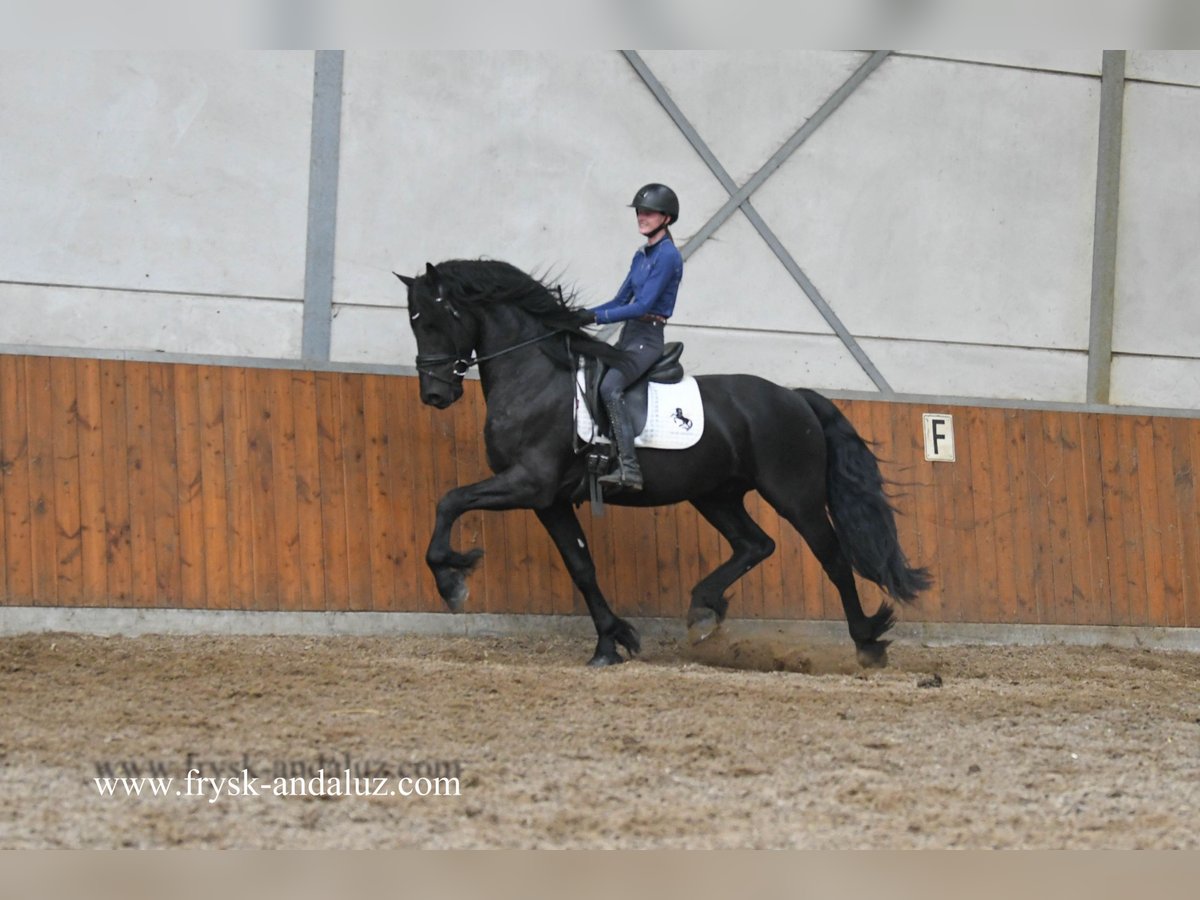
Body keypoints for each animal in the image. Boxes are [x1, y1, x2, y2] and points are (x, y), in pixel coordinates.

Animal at [393, 260, 926, 672]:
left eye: (436, 319)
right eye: (414, 322)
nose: (435, 395)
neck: (537, 377)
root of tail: (794, 397)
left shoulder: (528, 483)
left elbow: (450, 501)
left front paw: (452, 581)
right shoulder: (548, 500)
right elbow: (581, 568)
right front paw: (611, 643)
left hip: (795, 496)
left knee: (832, 558)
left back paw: (867, 642)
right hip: (716, 494)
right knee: (756, 544)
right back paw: (703, 612)